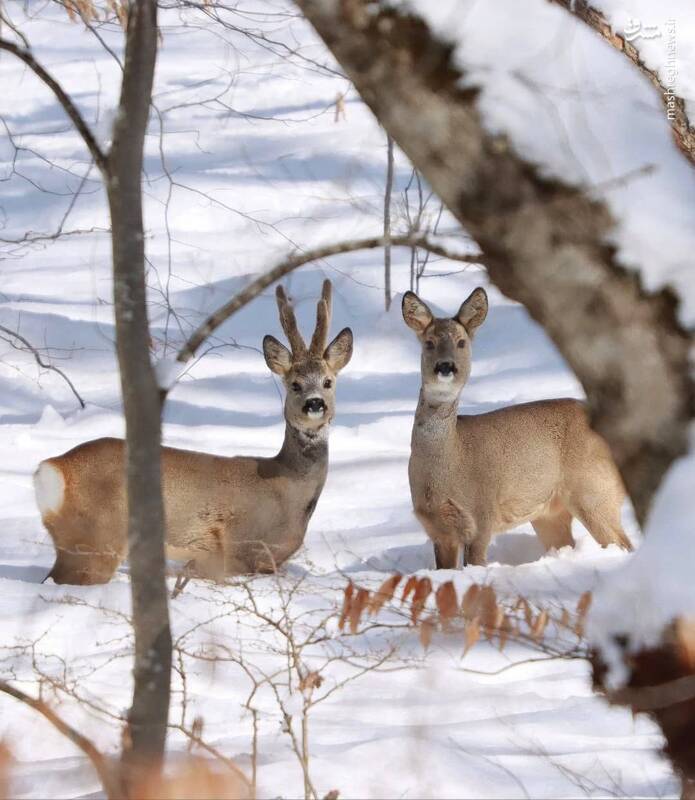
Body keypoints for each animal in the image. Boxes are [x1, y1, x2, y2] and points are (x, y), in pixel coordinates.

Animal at [34, 280, 354, 580]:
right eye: (294, 385)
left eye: (328, 381)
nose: (315, 403)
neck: (290, 486)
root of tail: (52, 469)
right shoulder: (245, 551)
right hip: (95, 539)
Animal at [400, 288, 632, 568]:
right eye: (429, 342)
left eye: (461, 342)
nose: (446, 366)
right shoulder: (437, 529)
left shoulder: (482, 515)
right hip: (550, 513)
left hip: (595, 491)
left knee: (623, 544)